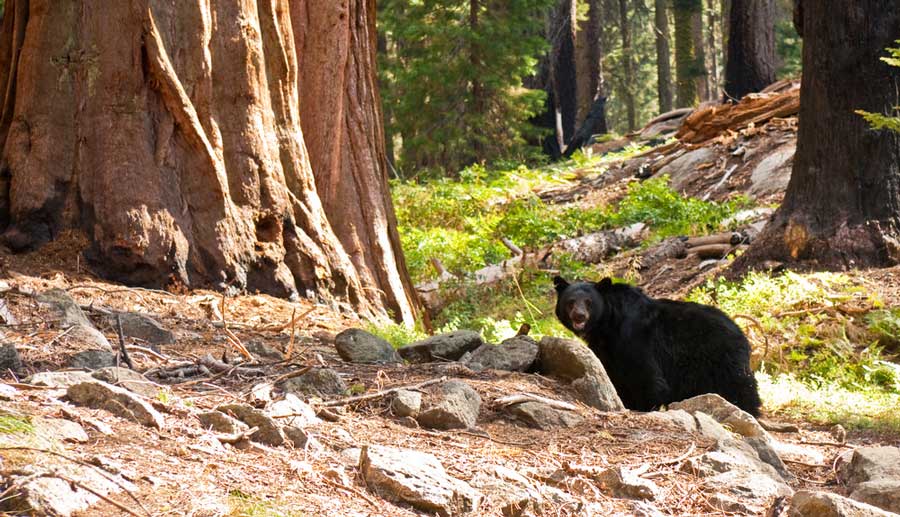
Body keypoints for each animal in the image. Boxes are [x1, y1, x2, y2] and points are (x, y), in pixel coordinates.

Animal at [553, 276, 762, 416]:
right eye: (570, 302)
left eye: (589, 302)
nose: (579, 316)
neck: (608, 325)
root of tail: (741, 333)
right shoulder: (608, 350)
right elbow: (614, 376)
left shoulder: (635, 338)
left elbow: (647, 376)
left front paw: (642, 407)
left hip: (721, 359)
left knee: (740, 387)